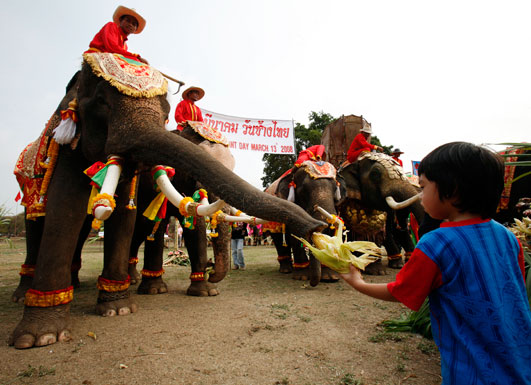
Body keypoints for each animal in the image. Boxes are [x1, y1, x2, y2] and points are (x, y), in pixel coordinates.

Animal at [8, 52, 324, 350]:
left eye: (165, 114)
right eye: (101, 102)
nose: (318, 228)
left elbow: (184, 223)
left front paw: (202, 292)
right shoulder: (74, 147)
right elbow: (69, 210)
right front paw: (41, 338)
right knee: (40, 224)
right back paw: (27, 295)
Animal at [264, 158, 344, 286]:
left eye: (335, 189)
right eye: (303, 191)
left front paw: (330, 277)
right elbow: (296, 234)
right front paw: (302, 277)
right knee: (278, 238)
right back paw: (286, 270)